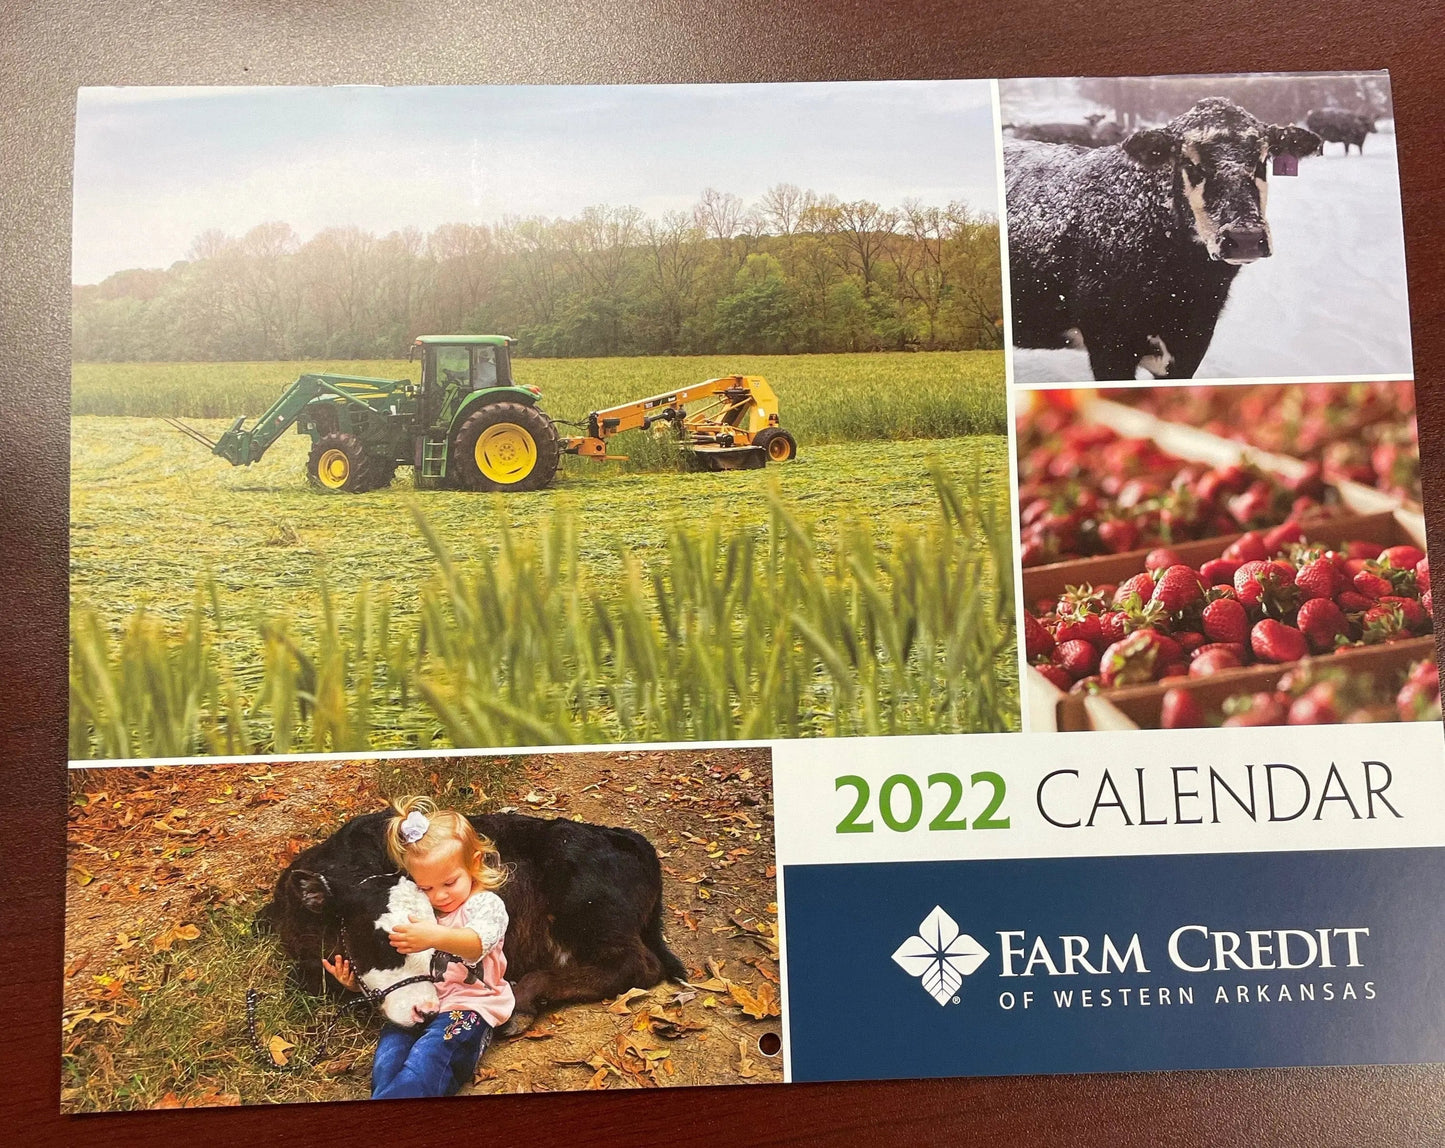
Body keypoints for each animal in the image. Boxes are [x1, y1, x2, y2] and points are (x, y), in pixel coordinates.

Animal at [260, 803, 687, 1035]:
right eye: (385, 940)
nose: (425, 1013)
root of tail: (629, 838)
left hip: (587, 908)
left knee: (637, 965)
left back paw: (523, 1000)